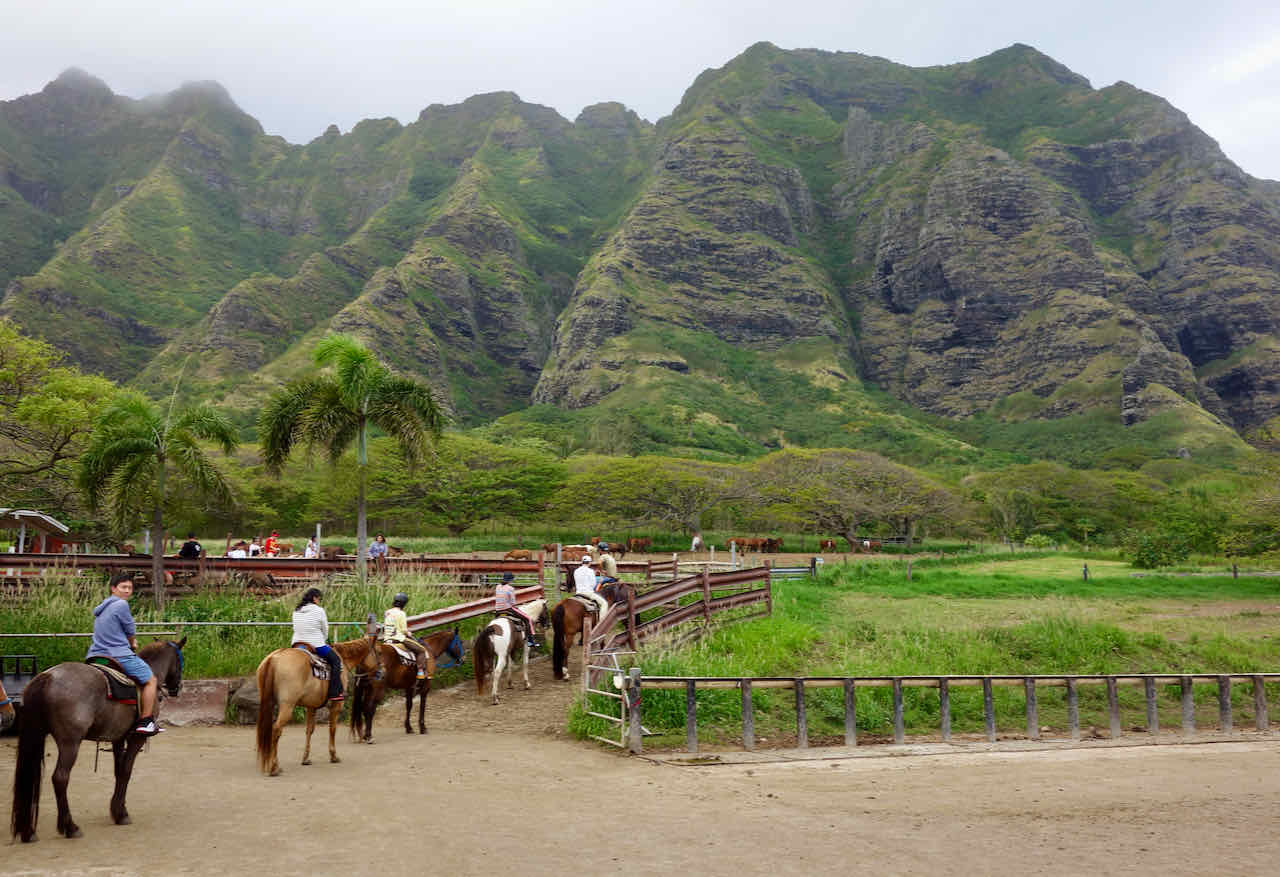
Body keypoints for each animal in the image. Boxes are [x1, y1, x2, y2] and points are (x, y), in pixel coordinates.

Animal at [10, 635, 186, 839]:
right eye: (180, 661)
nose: (177, 688)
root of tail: (47, 677)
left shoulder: (118, 738)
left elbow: (119, 771)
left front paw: (118, 810)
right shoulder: (136, 738)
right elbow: (127, 771)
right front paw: (121, 813)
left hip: (36, 735)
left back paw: (28, 832)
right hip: (70, 743)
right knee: (60, 778)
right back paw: (70, 827)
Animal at [254, 632, 378, 778]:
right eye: (378, 652)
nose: (381, 671)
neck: (343, 658)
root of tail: (274, 658)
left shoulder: (311, 706)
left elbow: (309, 730)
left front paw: (306, 759)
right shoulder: (337, 705)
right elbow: (332, 729)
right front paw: (333, 756)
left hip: (268, 703)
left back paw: (275, 765)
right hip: (287, 706)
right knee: (276, 730)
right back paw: (274, 768)